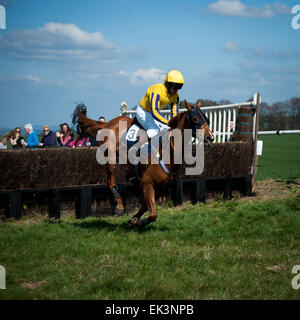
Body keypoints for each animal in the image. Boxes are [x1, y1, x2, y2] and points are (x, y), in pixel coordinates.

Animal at [72, 100, 213, 228]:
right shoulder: (147, 183)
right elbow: (152, 213)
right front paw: (140, 221)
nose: (210, 137)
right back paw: (119, 206)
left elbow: (146, 206)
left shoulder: (160, 187)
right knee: (110, 181)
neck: (168, 151)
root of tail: (108, 122)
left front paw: (134, 220)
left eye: (207, 119)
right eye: (195, 118)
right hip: (110, 155)